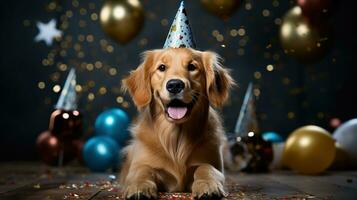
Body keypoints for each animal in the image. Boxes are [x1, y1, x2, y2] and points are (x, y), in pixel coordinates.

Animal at [121, 47, 235, 199]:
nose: (174, 85)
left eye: (192, 67)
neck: (176, 137)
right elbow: (142, 170)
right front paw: (139, 187)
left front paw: (208, 185)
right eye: (161, 67)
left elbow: (205, 168)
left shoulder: (214, 164)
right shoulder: (141, 164)